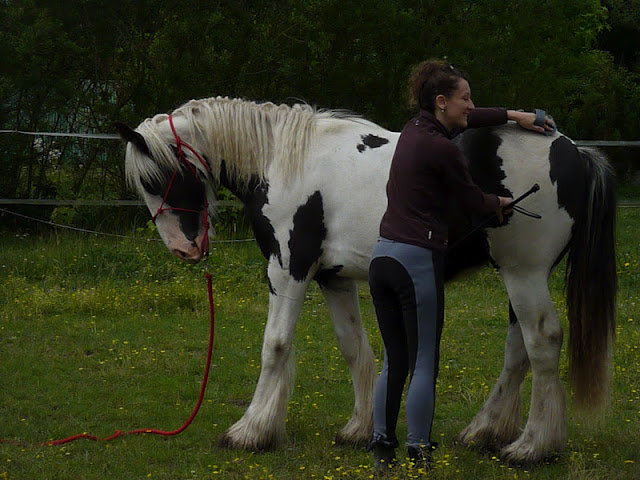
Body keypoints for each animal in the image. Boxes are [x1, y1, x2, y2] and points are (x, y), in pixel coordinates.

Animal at [115, 94, 616, 464]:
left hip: (524, 274)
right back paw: (484, 430)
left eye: (157, 179)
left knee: (542, 341)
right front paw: (359, 429)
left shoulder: (288, 268)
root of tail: (575, 152)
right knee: (517, 350)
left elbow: (274, 345)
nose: (184, 249)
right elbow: (353, 347)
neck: (283, 161)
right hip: (516, 276)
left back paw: (532, 446)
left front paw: (250, 431)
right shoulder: (332, 278)